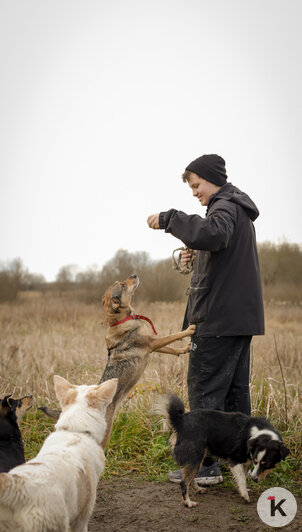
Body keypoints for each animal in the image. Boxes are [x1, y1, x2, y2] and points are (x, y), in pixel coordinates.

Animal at [40, 274, 195, 448]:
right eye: (122, 285)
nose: (134, 274)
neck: (121, 319)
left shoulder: (152, 346)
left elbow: (171, 348)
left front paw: (183, 349)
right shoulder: (152, 343)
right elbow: (173, 336)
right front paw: (189, 330)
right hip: (103, 433)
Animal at [160, 394, 290, 508]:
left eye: (267, 465)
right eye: (257, 462)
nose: (254, 479)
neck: (257, 434)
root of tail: (179, 421)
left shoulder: (245, 463)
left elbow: (243, 477)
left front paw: (244, 489)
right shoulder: (234, 460)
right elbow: (242, 478)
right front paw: (245, 495)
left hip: (197, 459)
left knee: (189, 479)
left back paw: (198, 490)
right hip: (195, 458)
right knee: (184, 482)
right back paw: (188, 502)